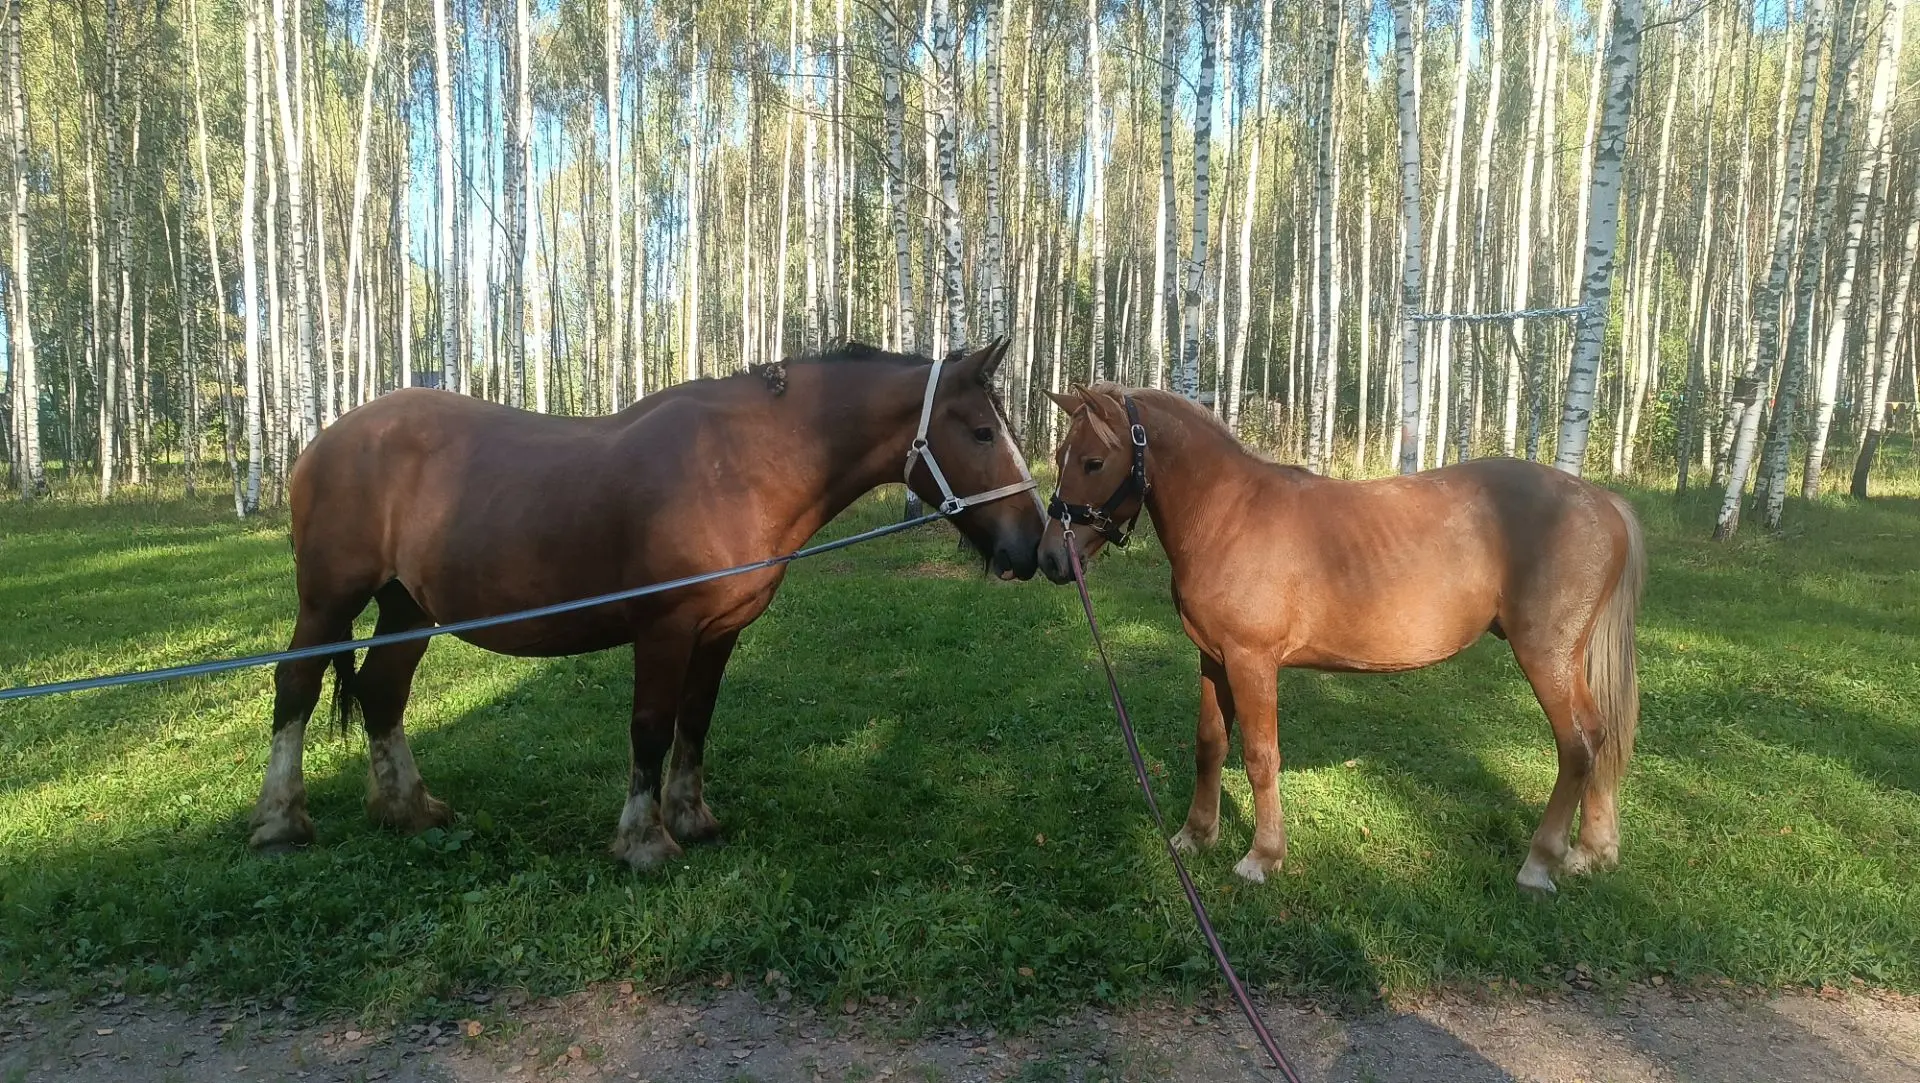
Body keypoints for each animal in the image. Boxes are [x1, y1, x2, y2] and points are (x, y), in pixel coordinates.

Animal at [248, 340, 1046, 870]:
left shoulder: (719, 632)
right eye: (982, 431)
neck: (740, 464)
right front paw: (644, 840)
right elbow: (652, 728)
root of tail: (327, 438)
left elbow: (695, 722)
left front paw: (691, 817)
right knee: (297, 686)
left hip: (409, 607)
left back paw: (407, 810)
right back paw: (281, 821)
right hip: (329, 598)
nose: (1034, 545)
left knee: (383, 692)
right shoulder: (665, 629)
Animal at [1037, 383, 1645, 896]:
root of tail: (1601, 501)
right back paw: (1592, 851)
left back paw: (1540, 863)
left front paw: (1262, 856)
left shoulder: (1252, 663)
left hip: (1546, 657)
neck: (1229, 514)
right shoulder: (1213, 659)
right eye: (1062, 455)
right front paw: (1195, 836)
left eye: (1093, 461)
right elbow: (1210, 744)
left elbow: (1260, 755)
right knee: (1601, 734)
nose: (1048, 559)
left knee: (1578, 746)